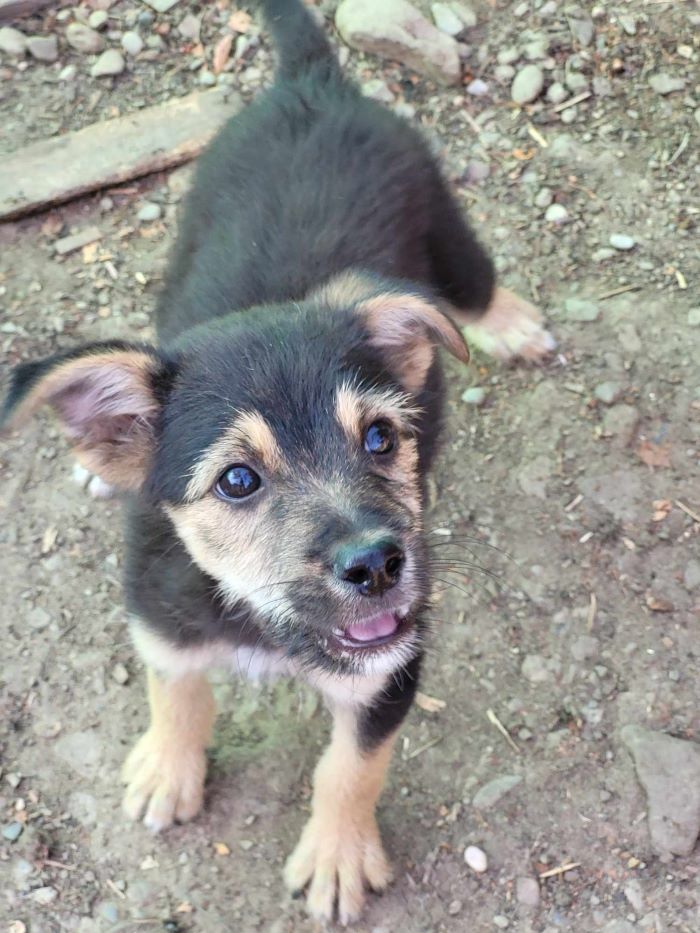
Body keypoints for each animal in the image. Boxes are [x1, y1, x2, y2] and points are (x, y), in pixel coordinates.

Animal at [2, 0, 552, 920]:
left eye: (381, 438)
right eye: (238, 480)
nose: (377, 564)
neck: (266, 621)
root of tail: (309, 84)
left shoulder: (392, 668)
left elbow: (351, 766)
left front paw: (337, 856)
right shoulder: (160, 614)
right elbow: (177, 689)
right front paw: (168, 768)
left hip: (444, 223)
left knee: (476, 286)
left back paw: (511, 325)